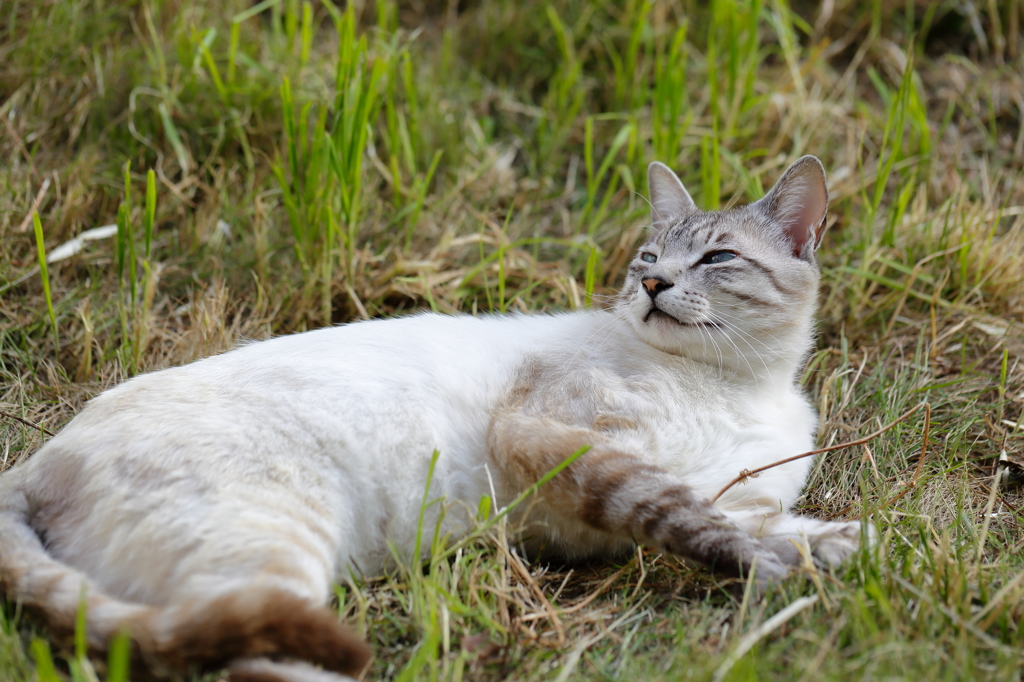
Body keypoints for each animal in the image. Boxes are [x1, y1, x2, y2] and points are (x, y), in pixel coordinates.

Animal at [0, 155, 864, 679]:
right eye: (648, 261)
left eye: (717, 259)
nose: (653, 288)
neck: (738, 387)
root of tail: (35, 463)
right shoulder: (550, 439)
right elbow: (686, 515)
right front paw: (781, 568)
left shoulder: (737, 486)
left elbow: (743, 515)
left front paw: (831, 548)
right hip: (275, 542)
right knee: (254, 657)